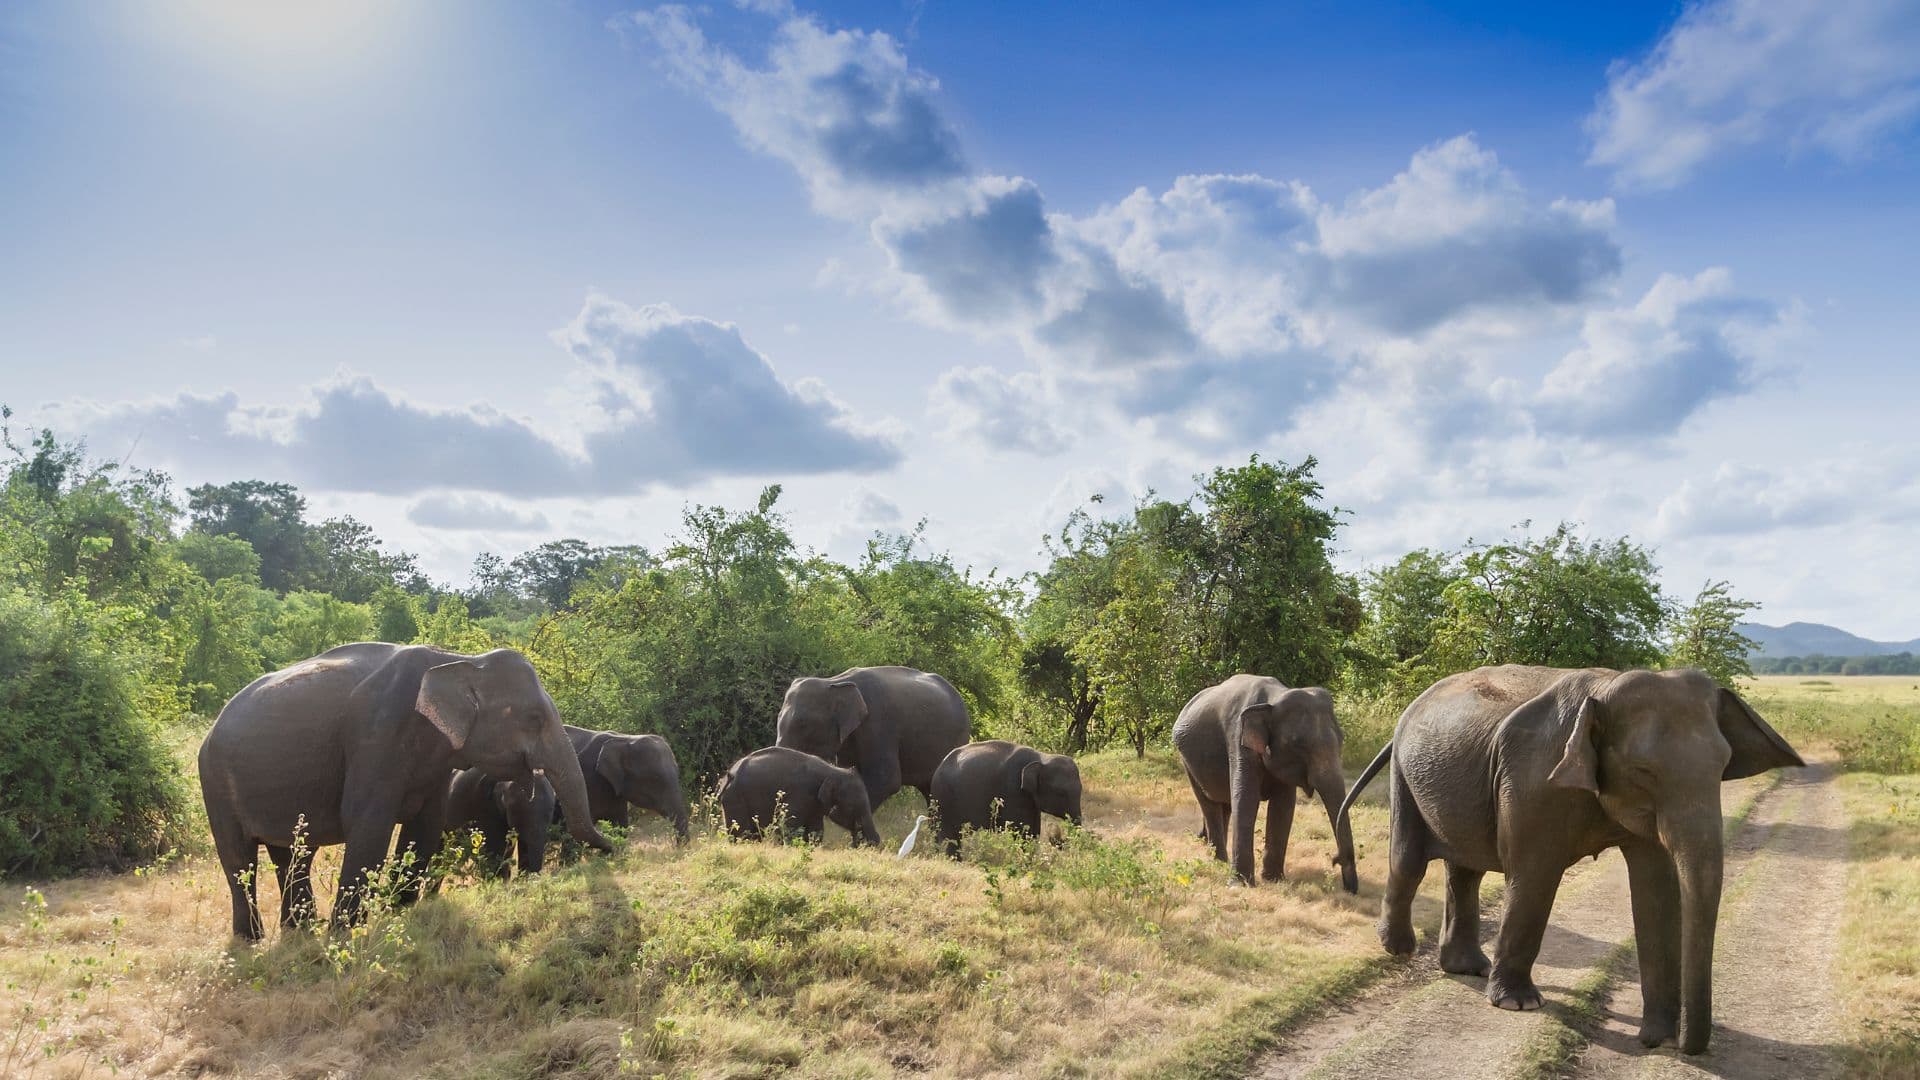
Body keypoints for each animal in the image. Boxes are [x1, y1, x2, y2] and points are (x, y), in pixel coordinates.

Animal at [197, 642, 613, 938]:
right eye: (534, 718)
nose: (613, 848)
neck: (457, 661)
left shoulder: (439, 757)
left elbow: (425, 827)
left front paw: (402, 913)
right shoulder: (376, 734)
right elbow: (368, 823)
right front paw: (346, 933)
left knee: (293, 856)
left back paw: (299, 931)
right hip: (214, 781)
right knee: (239, 859)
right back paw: (251, 940)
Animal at [716, 746, 882, 846]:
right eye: (852, 807)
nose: (855, 844)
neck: (833, 771)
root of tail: (729, 775)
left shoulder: (816, 804)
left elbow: (816, 830)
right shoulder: (799, 795)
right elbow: (789, 827)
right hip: (736, 798)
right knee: (741, 833)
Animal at [929, 740, 1083, 857]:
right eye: (1061, 793)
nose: (1054, 833)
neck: (1041, 757)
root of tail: (939, 767)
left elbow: (1034, 830)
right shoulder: (1013, 791)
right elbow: (1022, 830)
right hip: (943, 798)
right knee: (947, 833)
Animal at [1172, 674, 1358, 892]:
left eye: (1342, 739)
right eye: (1298, 744)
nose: (1335, 860)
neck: (1274, 699)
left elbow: (1283, 807)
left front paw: (1274, 880)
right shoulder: (1238, 739)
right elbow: (1246, 799)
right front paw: (1240, 885)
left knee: (1224, 805)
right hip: (1187, 762)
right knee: (1209, 804)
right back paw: (1219, 861)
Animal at [1338, 665, 1803, 1054]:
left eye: (1724, 766)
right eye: (1644, 771)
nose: (1667, 1043)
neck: (1605, 689)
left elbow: (1656, 891)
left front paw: (1660, 1033)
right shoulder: (1533, 781)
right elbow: (1535, 876)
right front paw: (1519, 1005)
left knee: (1465, 870)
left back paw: (1468, 968)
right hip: (1404, 775)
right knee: (1409, 862)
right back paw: (1400, 950)